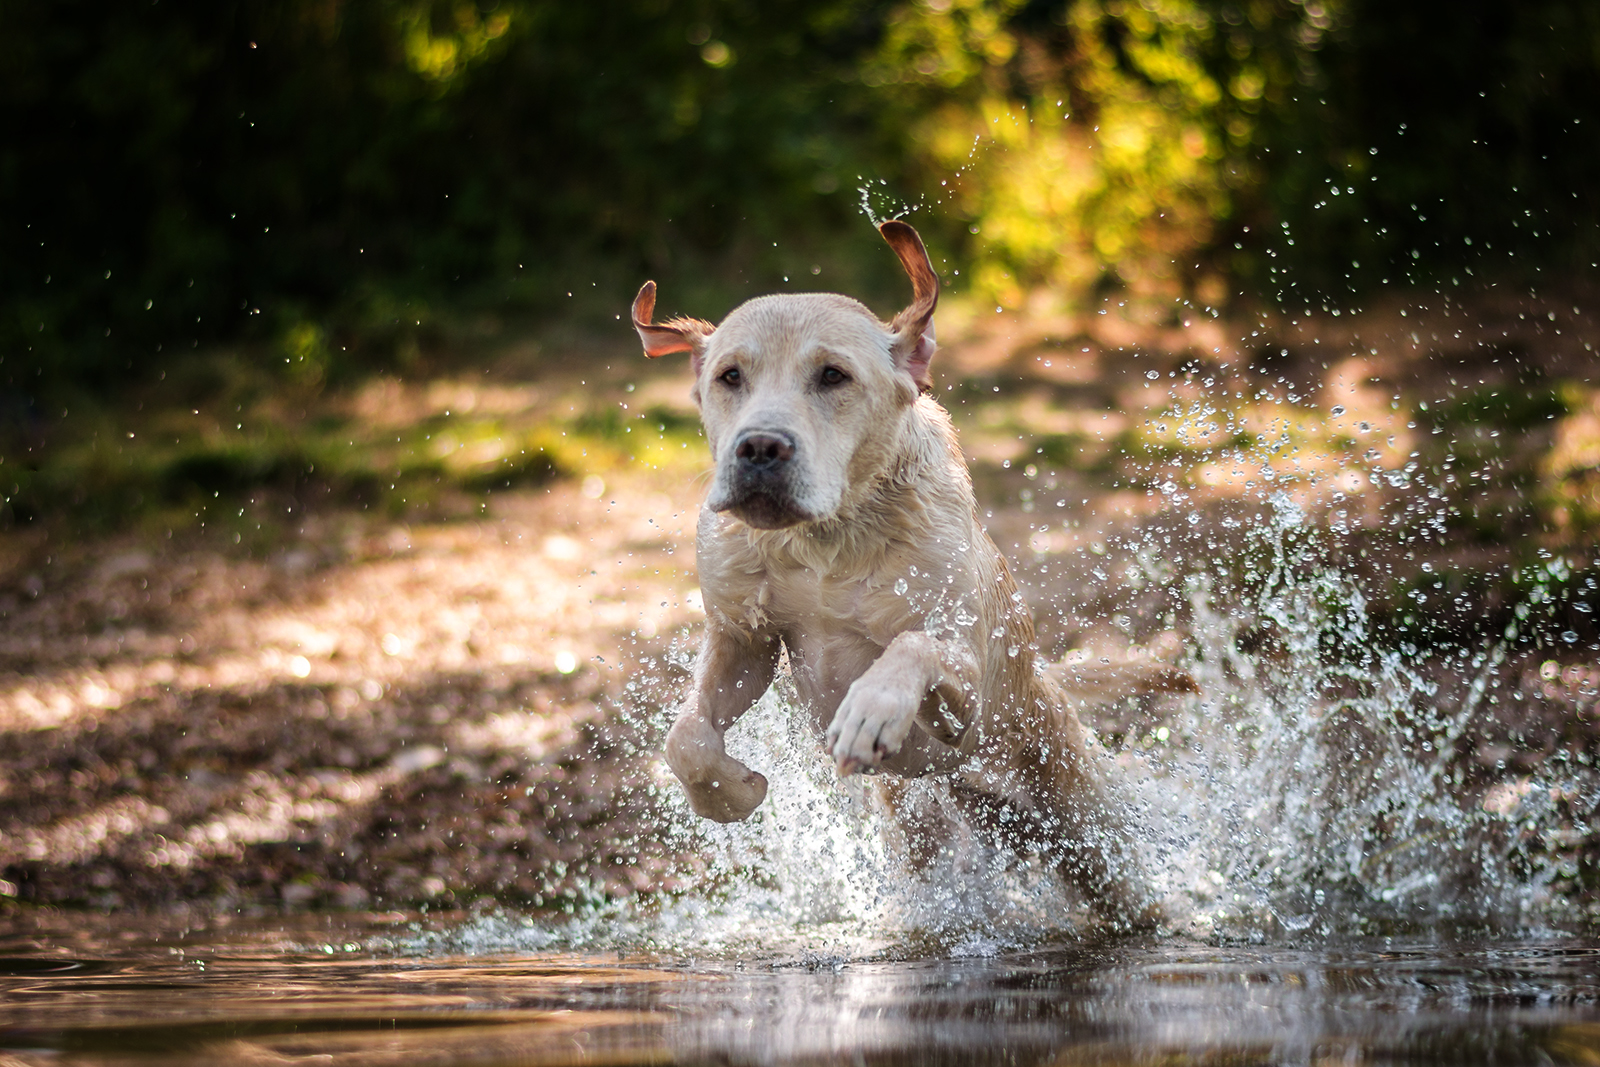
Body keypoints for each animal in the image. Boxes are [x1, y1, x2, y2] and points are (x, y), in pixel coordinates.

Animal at [630, 223, 1196, 927]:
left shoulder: (965, 671)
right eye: (730, 376)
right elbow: (686, 737)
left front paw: (873, 709)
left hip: (1087, 825)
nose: (760, 447)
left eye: (833, 375)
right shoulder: (741, 637)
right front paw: (730, 792)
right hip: (930, 832)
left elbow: (912, 643)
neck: (826, 539)